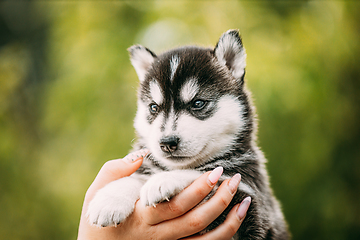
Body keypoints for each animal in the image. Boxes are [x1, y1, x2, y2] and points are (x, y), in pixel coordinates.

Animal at [87, 30, 290, 240]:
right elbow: (138, 176)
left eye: (198, 103)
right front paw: (110, 199)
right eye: (154, 107)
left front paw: (162, 180)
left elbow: (206, 173)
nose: (167, 143)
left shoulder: (250, 196)